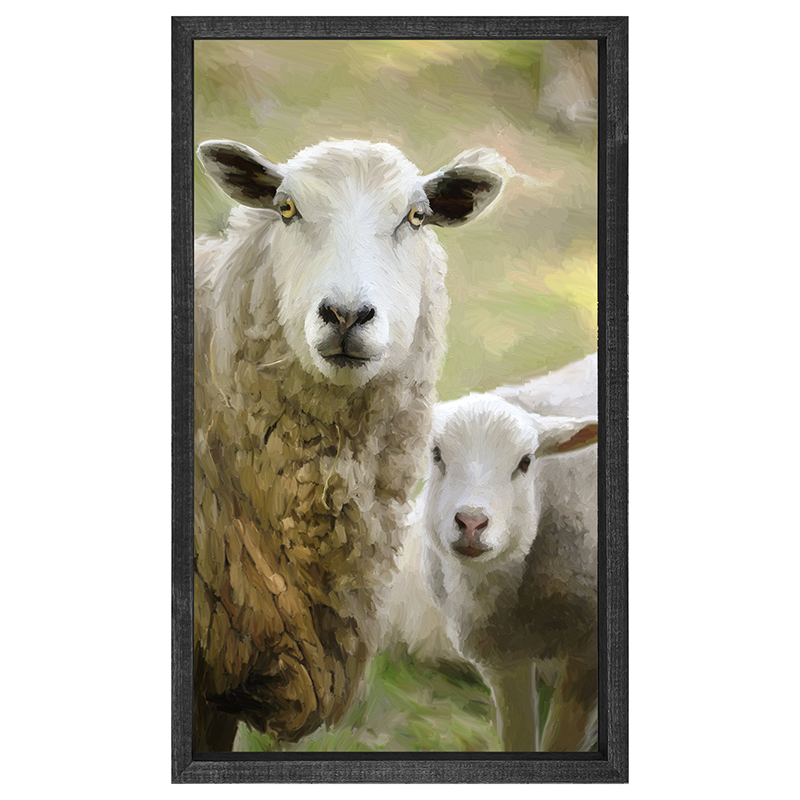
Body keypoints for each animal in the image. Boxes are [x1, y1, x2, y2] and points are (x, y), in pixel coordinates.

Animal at [418, 393, 598, 752]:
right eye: (436, 454)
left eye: (526, 462)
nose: (471, 523)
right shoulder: (502, 660)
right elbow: (518, 736)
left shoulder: (588, 657)